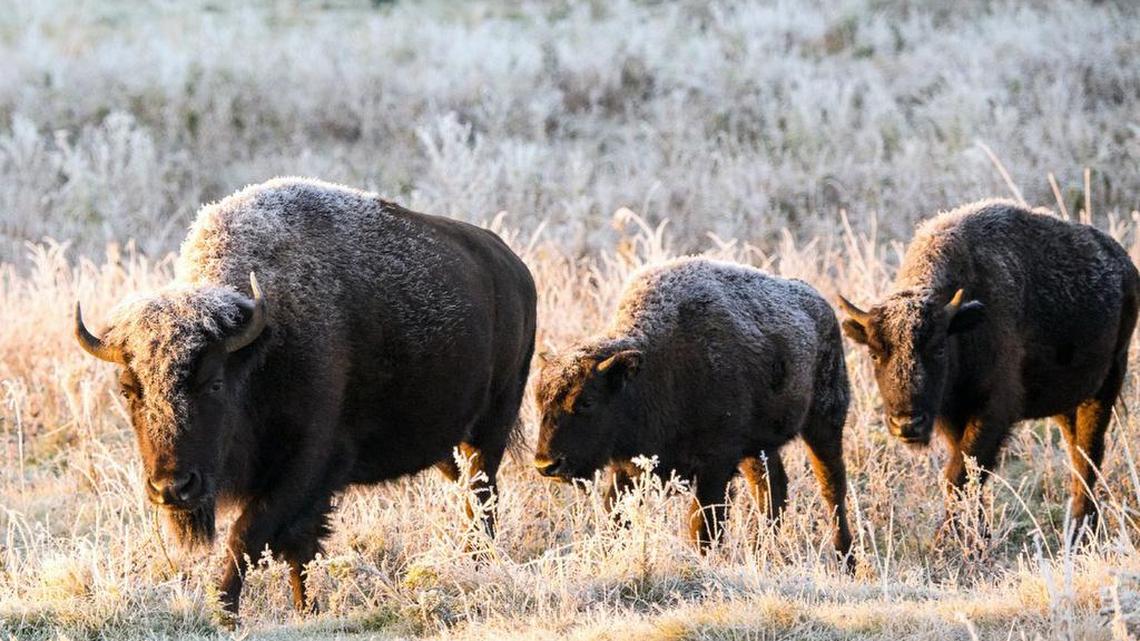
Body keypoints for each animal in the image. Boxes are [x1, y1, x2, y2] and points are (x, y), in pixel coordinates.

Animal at [75, 177, 537, 617]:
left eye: (215, 383)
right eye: (128, 390)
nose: (172, 487)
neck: (260, 346)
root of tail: (515, 269)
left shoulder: (307, 467)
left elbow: (248, 537)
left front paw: (223, 613)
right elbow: (298, 550)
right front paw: (304, 608)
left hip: (490, 427)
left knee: (482, 498)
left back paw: (479, 563)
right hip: (447, 446)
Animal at [534, 257, 853, 565]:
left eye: (586, 401)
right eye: (539, 402)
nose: (547, 464)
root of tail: (821, 306)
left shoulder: (716, 464)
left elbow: (703, 528)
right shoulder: (628, 468)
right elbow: (617, 518)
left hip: (825, 421)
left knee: (832, 486)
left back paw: (845, 557)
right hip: (759, 448)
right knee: (772, 490)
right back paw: (763, 551)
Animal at [838, 200, 1138, 539]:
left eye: (939, 348)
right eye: (875, 354)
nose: (907, 424)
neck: (963, 324)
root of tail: (1124, 265)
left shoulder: (993, 411)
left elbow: (961, 473)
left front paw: (949, 539)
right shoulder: (953, 416)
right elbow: (966, 471)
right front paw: (976, 533)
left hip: (1106, 385)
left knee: (1089, 454)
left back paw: (1079, 529)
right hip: (1068, 403)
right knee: (1078, 453)